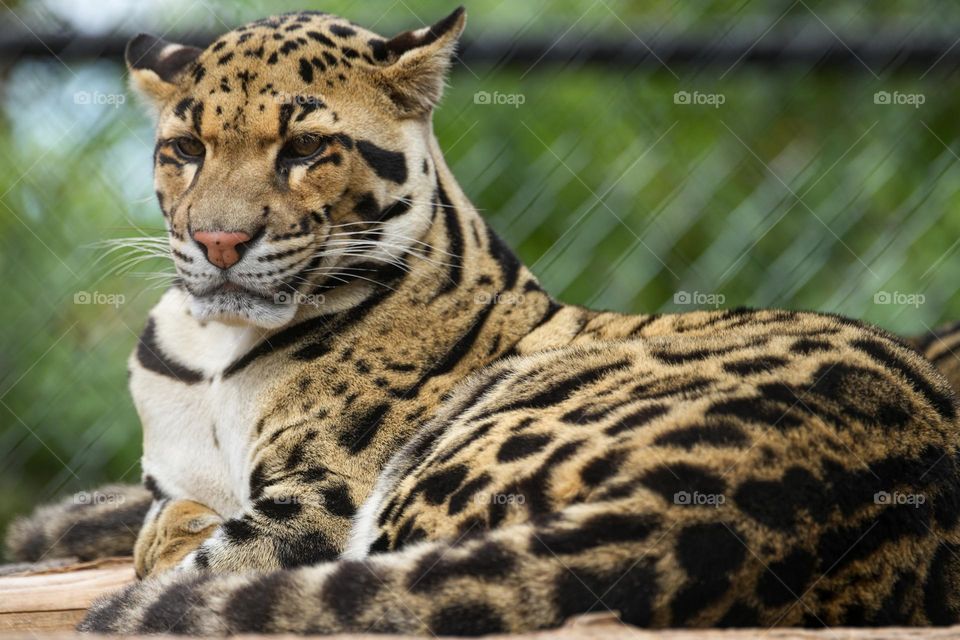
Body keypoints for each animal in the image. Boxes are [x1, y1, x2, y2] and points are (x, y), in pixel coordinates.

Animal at [6, 7, 960, 635]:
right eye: (186, 150)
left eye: (307, 149)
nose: (219, 240)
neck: (205, 350)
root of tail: (754, 505)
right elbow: (140, 510)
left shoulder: (314, 503)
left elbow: (203, 556)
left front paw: (164, 543)